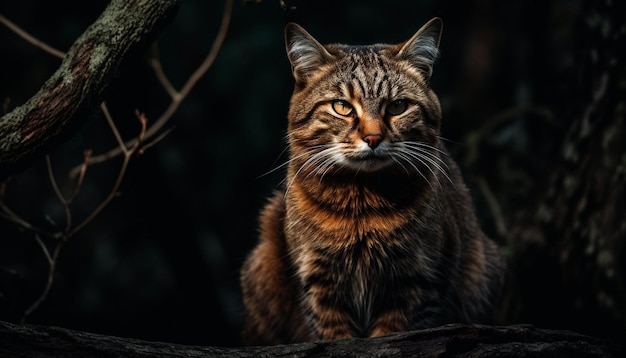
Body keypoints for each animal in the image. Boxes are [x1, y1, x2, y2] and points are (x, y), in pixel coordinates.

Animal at [238, 18, 502, 346]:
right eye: (342, 107)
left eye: (398, 106)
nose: (373, 138)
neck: (361, 204)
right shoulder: (319, 283)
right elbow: (336, 336)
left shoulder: (417, 280)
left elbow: (394, 334)